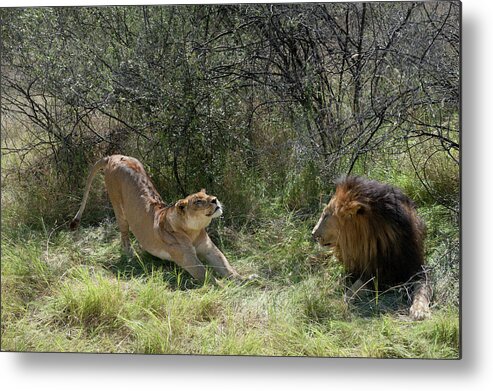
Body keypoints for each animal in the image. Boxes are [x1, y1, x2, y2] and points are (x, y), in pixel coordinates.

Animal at [70, 155, 239, 284]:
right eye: (198, 201)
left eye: (207, 195)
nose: (215, 200)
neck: (193, 230)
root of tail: (113, 156)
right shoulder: (187, 259)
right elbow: (207, 277)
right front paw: (225, 288)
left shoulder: (209, 249)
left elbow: (226, 265)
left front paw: (242, 280)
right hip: (118, 207)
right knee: (124, 236)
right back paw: (132, 257)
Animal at [312, 178, 430, 322]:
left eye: (326, 215)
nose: (313, 234)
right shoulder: (368, 271)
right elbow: (353, 289)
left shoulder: (415, 268)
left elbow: (422, 289)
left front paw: (420, 310)